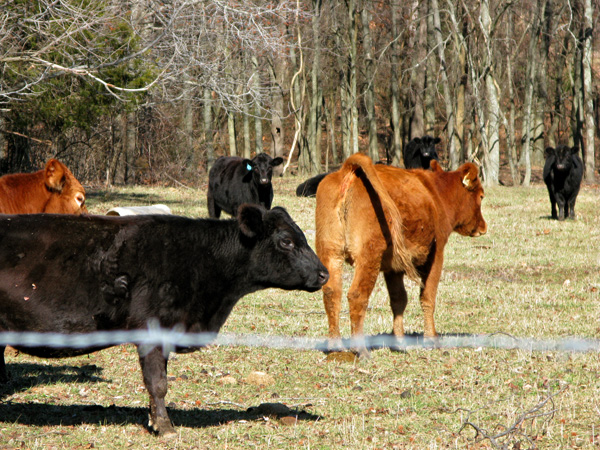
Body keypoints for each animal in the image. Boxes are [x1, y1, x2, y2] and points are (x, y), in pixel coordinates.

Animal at [0, 206, 328, 438]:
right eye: (286, 241)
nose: (324, 273)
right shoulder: (152, 332)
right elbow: (157, 383)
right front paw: (166, 427)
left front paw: (154, 420)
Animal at [314, 154, 488, 356]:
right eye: (481, 196)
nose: (483, 227)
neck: (436, 194)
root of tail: (348, 171)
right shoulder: (436, 255)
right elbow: (427, 297)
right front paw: (432, 340)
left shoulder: (393, 267)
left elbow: (399, 300)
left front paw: (398, 342)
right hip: (368, 255)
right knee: (357, 295)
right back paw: (360, 349)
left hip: (331, 252)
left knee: (331, 291)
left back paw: (335, 346)